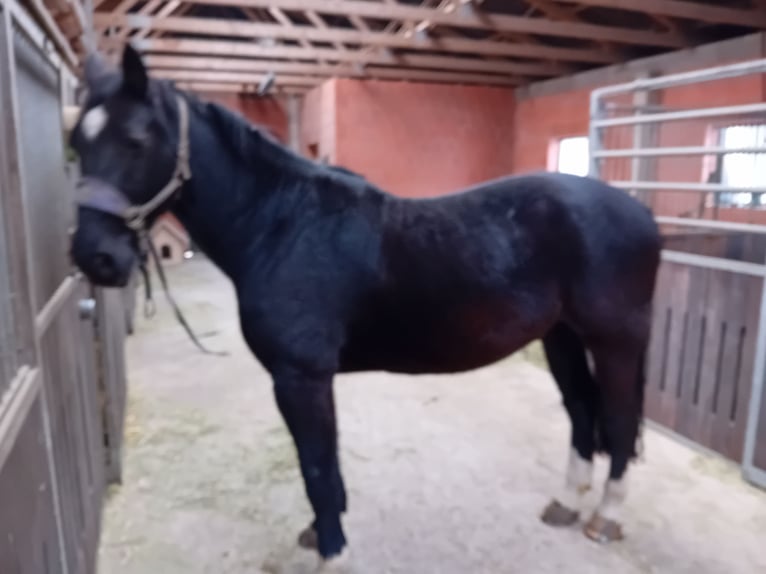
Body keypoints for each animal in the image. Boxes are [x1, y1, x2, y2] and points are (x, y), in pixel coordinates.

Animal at [68, 44, 661, 571]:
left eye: (137, 140)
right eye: (77, 143)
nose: (95, 257)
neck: (282, 225)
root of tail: (640, 213)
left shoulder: (301, 378)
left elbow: (316, 467)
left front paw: (332, 552)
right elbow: (323, 468)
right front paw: (321, 533)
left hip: (615, 341)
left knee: (617, 418)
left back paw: (605, 517)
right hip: (560, 336)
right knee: (582, 411)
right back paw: (567, 503)